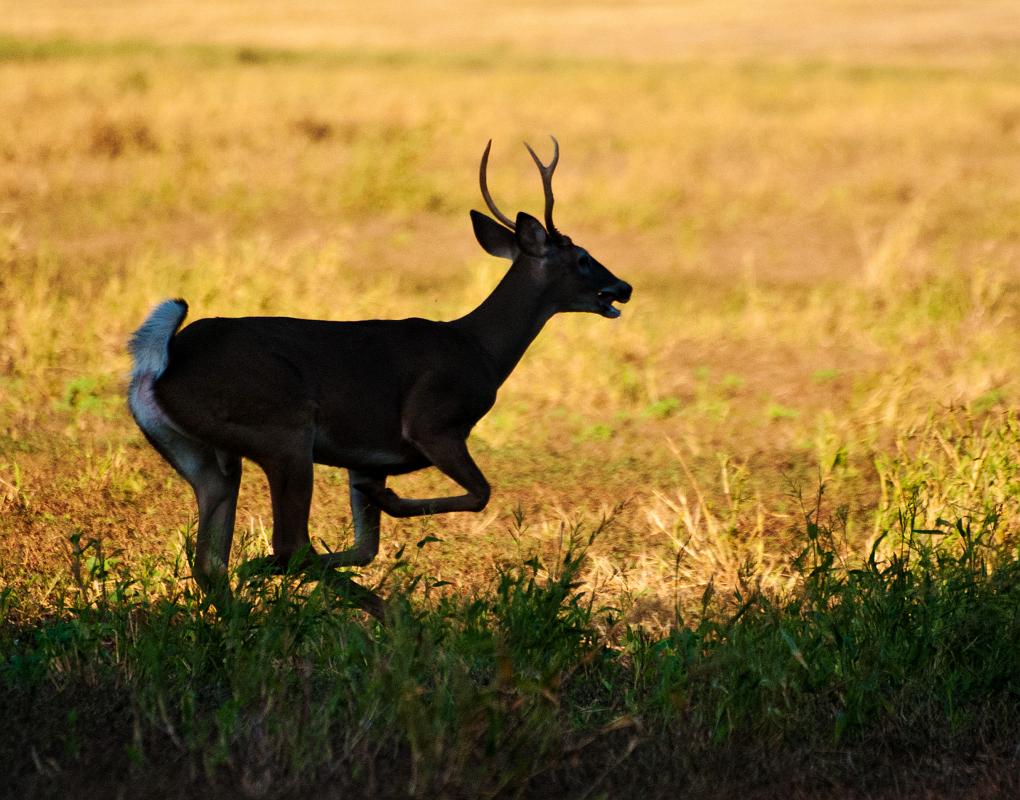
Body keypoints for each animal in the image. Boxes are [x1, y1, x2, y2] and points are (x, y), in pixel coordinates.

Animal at [127, 137, 631, 616]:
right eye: (583, 258)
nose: (624, 286)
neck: (479, 349)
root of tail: (162, 363)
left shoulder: (366, 458)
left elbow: (366, 548)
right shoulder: (431, 425)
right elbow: (481, 493)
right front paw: (390, 507)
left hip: (204, 458)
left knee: (212, 561)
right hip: (284, 433)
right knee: (291, 546)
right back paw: (395, 619)